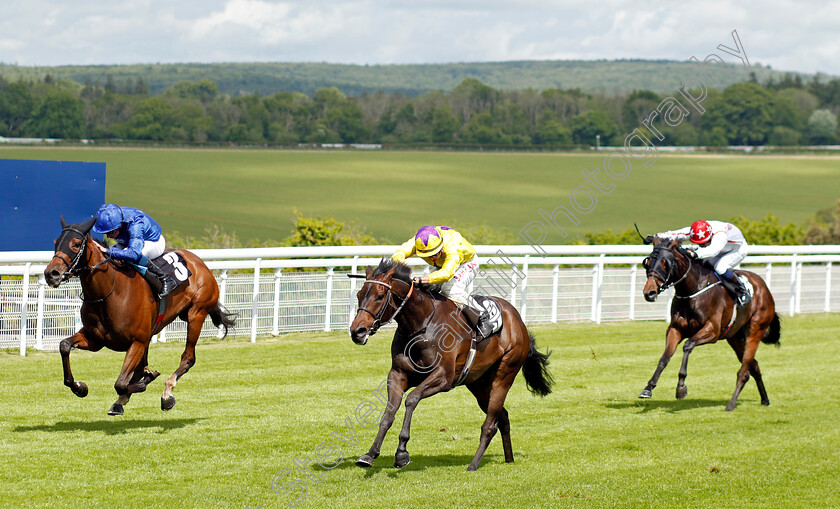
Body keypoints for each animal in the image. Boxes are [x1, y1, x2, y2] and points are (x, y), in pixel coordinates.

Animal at [45, 216, 236, 414]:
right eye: (55, 242)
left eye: (75, 244)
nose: (51, 273)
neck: (110, 292)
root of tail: (199, 262)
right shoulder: (95, 339)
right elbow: (64, 346)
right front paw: (80, 387)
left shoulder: (137, 341)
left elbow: (121, 383)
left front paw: (147, 380)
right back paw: (123, 399)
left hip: (196, 314)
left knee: (188, 358)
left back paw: (167, 393)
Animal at [346, 260, 552, 470]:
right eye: (359, 294)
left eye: (380, 296)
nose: (357, 331)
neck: (422, 325)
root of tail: (518, 321)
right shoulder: (398, 374)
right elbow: (389, 412)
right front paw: (370, 454)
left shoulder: (443, 378)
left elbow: (411, 399)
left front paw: (402, 452)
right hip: (479, 385)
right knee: (502, 417)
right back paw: (508, 459)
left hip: (504, 376)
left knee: (489, 424)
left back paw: (473, 465)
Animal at [644, 236, 780, 410]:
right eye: (647, 262)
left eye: (665, 263)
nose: (649, 292)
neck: (693, 290)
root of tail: (765, 288)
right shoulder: (675, 329)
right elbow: (664, 358)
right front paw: (648, 387)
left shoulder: (712, 330)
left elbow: (688, 345)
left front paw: (681, 387)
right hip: (735, 337)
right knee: (753, 365)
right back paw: (764, 399)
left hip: (755, 330)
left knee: (744, 371)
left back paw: (731, 404)